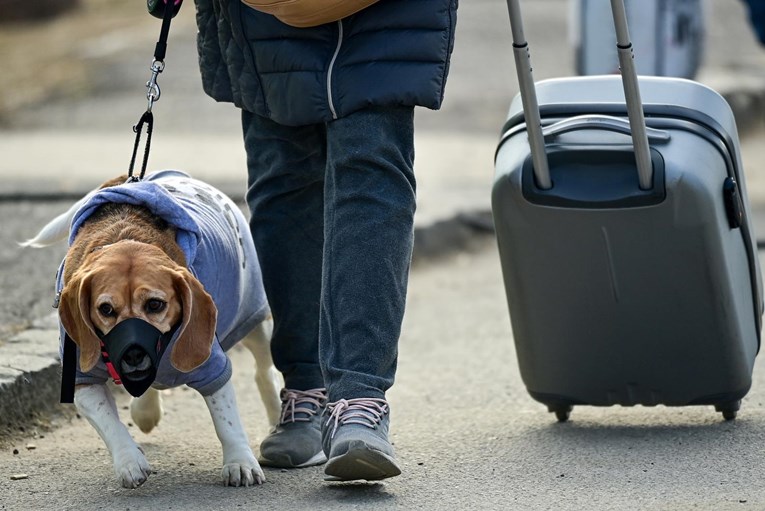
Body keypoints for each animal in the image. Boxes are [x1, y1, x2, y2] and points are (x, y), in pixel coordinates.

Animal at [23, 173, 284, 492]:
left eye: (155, 304)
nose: (133, 353)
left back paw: (276, 415)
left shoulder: (211, 365)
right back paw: (145, 411)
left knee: (264, 371)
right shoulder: (83, 379)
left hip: (254, 324)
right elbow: (110, 424)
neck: (124, 236)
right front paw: (129, 461)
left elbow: (228, 423)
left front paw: (240, 463)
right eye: (105, 309)